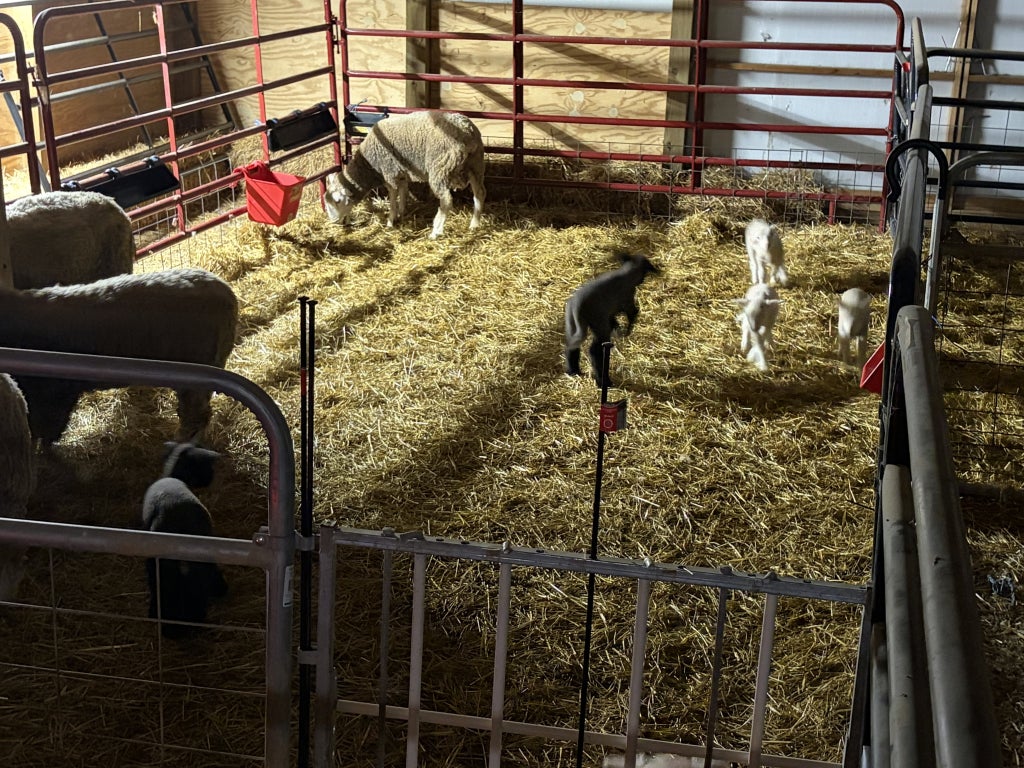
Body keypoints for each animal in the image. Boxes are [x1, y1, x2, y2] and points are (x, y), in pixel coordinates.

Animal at [324, 110, 486, 239]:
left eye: (338, 201)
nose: (333, 221)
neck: (369, 164)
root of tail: (467, 130)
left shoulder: (389, 174)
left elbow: (393, 199)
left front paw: (390, 221)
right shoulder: (400, 173)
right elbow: (403, 192)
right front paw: (401, 213)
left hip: (440, 167)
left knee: (446, 200)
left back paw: (436, 232)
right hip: (476, 163)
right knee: (479, 193)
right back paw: (474, 224)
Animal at [564, 253, 660, 388]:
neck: (627, 273)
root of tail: (577, 307)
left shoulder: (611, 311)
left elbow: (614, 319)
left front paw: (618, 327)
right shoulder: (626, 301)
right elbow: (633, 313)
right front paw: (627, 330)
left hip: (572, 324)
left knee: (572, 345)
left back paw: (573, 371)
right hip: (599, 324)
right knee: (594, 350)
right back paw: (603, 381)